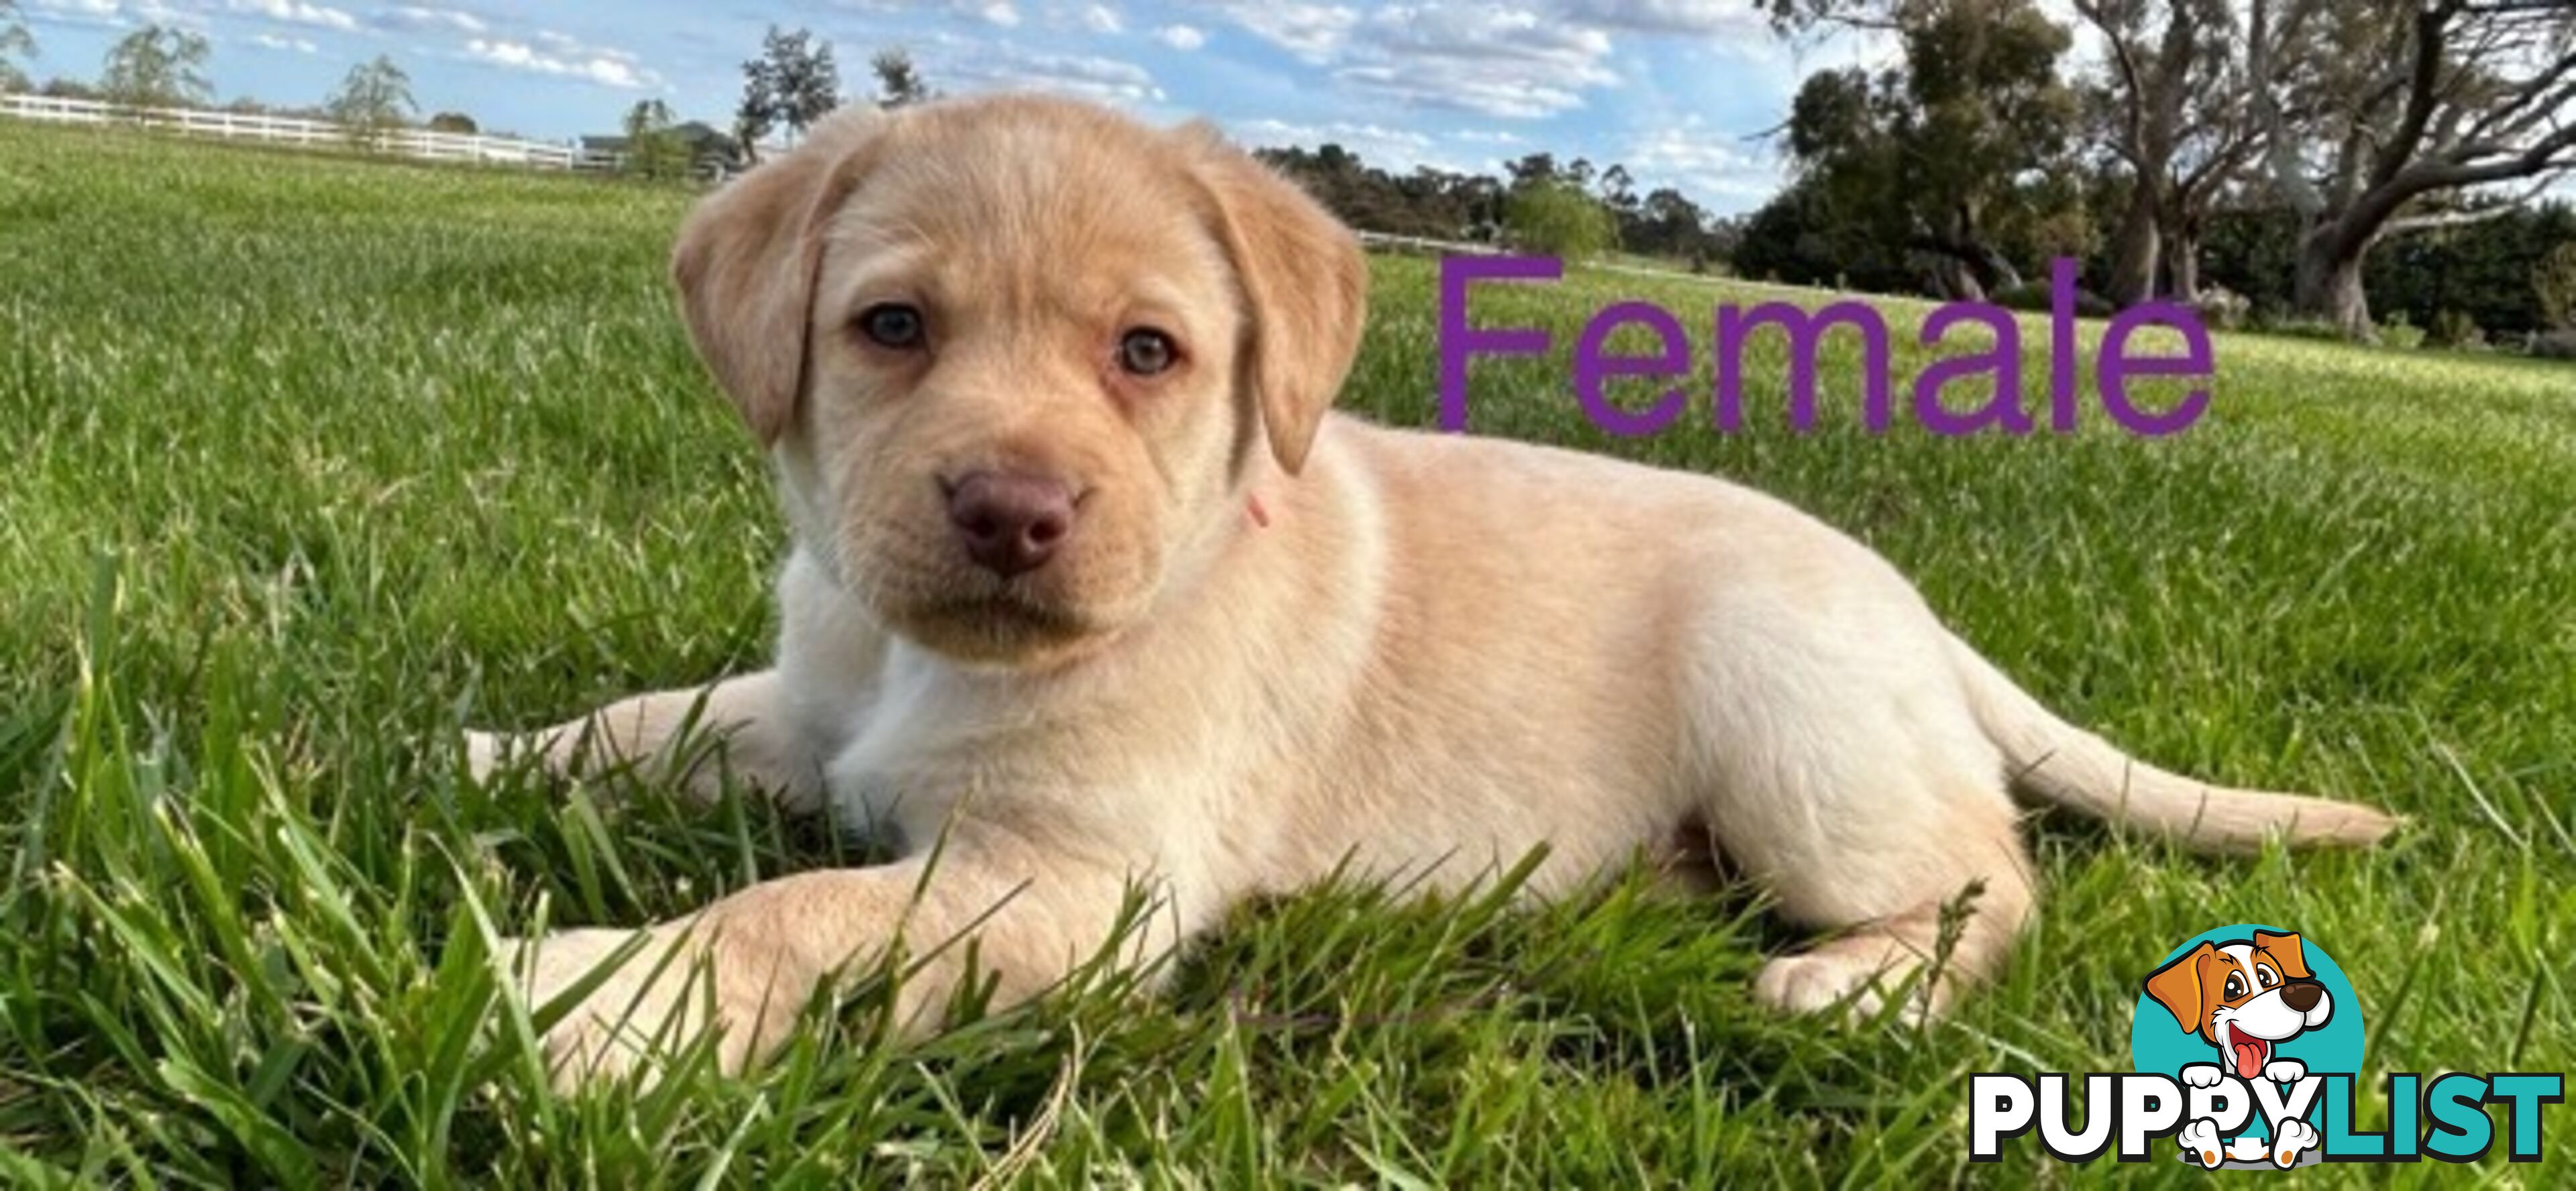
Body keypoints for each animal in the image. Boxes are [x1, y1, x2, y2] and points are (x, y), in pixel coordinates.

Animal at [479, 95, 2390, 1090]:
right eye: (891, 328)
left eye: (1148, 354)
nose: (1011, 510)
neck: (924, 663)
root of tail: (1916, 613)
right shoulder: (812, 708)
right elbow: (663, 717)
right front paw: (497, 751)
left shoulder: (1079, 883)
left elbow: (789, 912)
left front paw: (587, 1002)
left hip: (1798, 732)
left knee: (1993, 877)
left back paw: (1849, 989)